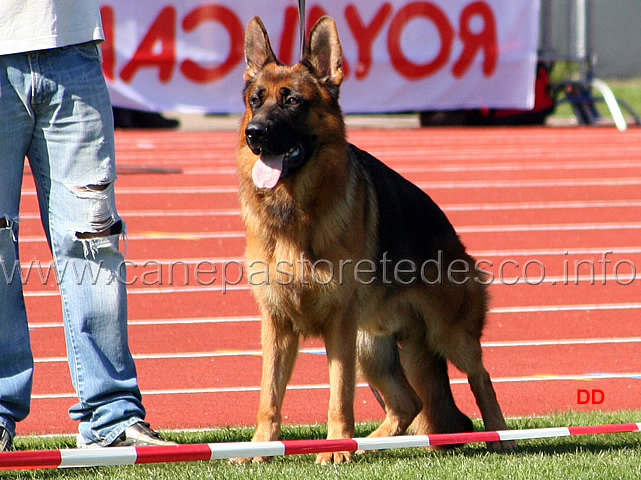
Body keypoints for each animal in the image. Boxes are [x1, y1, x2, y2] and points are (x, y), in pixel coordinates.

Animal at [236, 16, 516, 464]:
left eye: (292, 101)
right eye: (255, 101)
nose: (255, 134)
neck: (296, 210)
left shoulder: (339, 325)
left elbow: (339, 394)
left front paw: (336, 447)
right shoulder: (276, 323)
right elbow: (269, 396)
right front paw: (262, 447)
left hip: (447, 334)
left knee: (481, 377)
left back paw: (499, 435)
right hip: (372, 345)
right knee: (409, 403)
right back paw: (372, 442)